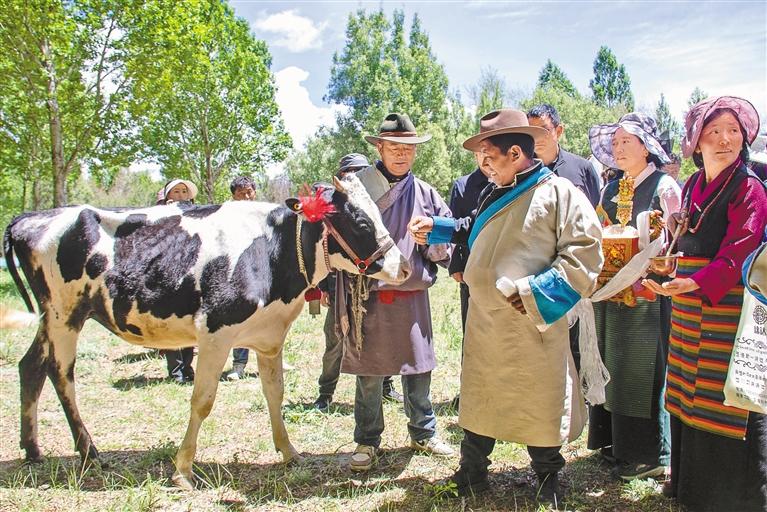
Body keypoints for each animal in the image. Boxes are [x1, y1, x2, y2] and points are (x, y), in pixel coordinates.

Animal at [3, 176, 410, 489]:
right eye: (361, 223)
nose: (404, 267)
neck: (274, 251)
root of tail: (31, 217)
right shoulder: (215, 332)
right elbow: (202, 401)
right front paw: (182, 470)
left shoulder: (269, 337)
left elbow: (274, 394)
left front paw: (289, 452)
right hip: (64, 314)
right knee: (60, 373)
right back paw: (88, 450)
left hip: (53, 317)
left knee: (30, 366)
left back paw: (33, 449)